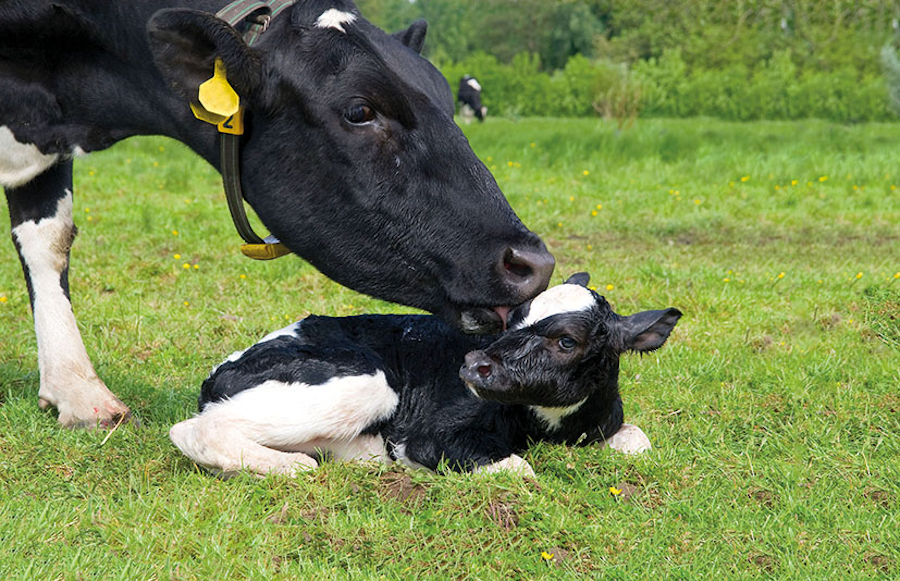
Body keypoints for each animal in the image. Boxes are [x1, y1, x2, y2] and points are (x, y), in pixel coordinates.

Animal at [169, 273, 682, 478]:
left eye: (567, 342)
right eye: (514, 318)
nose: (475, 364)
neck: (547, 426)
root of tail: (221, 371)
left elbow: (638, 440)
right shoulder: (429, 436)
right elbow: (518, 468)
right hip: (366, 383)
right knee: (192, 429)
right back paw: (290, 466)